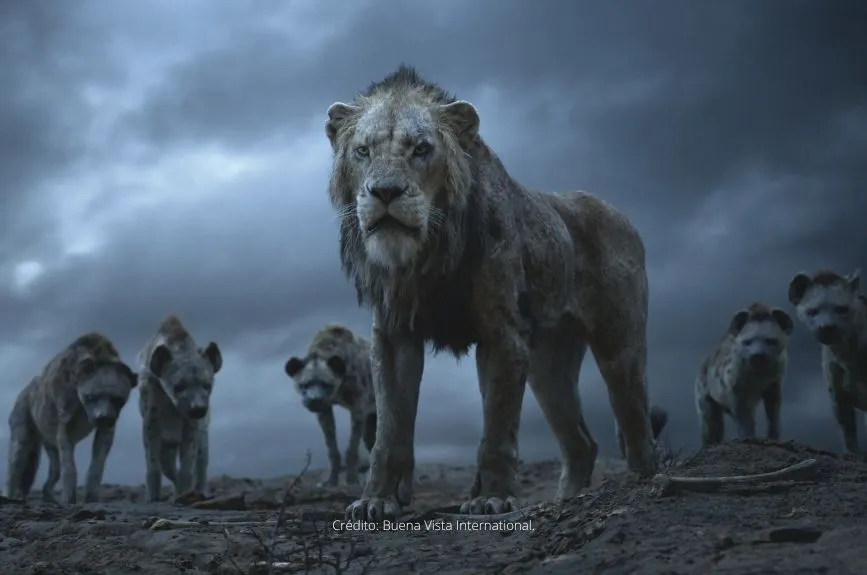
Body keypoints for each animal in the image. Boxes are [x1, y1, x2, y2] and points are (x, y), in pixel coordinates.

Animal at [324, 65, 666, 522]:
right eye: (362, 151)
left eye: (421, 149)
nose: (385, 192)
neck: (427, 255)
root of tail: (620, 214)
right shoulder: (394, 337)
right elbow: (389, 429)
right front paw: (376, 500)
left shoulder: (502, 335)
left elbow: (498, 425)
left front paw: (492, 498)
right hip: (548, 365)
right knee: (581, 442)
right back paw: (565, 499)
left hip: (618, 344)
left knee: (634, 418)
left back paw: (644, 482)